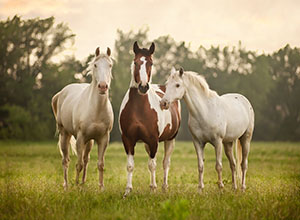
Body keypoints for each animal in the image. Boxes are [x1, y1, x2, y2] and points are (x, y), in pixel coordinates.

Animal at [51, 47, 113, 190]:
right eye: (95, 65)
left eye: (110, 65)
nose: (103, 86)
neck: (96, 110)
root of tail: (61, 93)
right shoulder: (80, 138)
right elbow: (78, 164)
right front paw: (76, 185)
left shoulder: (103, 139)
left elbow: (100, 164)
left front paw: (101, 187)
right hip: (65, 134)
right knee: (66, 160)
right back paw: (66, 185)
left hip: (89, 141)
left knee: (86, 159)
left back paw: (83, 183)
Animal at [119, 42, 180, 197]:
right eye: (135, 62)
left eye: (151, 63)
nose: (143, 86)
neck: (139, 108)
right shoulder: (128, 140)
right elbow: (130, 166)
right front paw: (127, 191)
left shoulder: (153, 140)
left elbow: (152, 165)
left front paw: (153, 188)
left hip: (170, 140)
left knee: (165, 163)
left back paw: (164, 187)